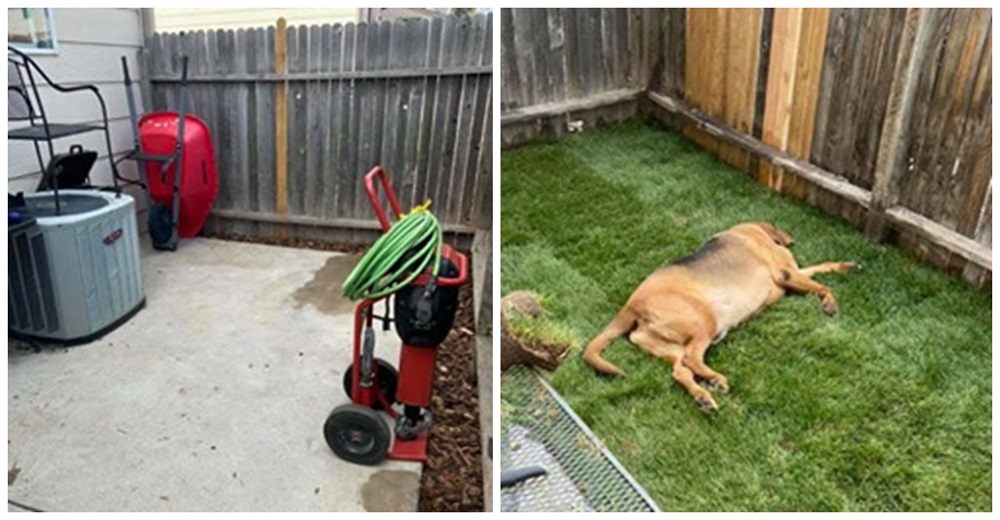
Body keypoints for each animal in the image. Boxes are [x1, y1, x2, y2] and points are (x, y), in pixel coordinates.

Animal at [584, 221, 856, 412]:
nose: (792, 238)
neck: (752, 230)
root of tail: (631, 306)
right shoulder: (787, 273)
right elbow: (822, 285)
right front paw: (830, 302)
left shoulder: (795, 273)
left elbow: (821, 267)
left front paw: (846, 266)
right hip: (704, 321)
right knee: (692, 359)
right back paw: (715, 379)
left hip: (665, 345)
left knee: (680, 371)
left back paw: (703, 397)